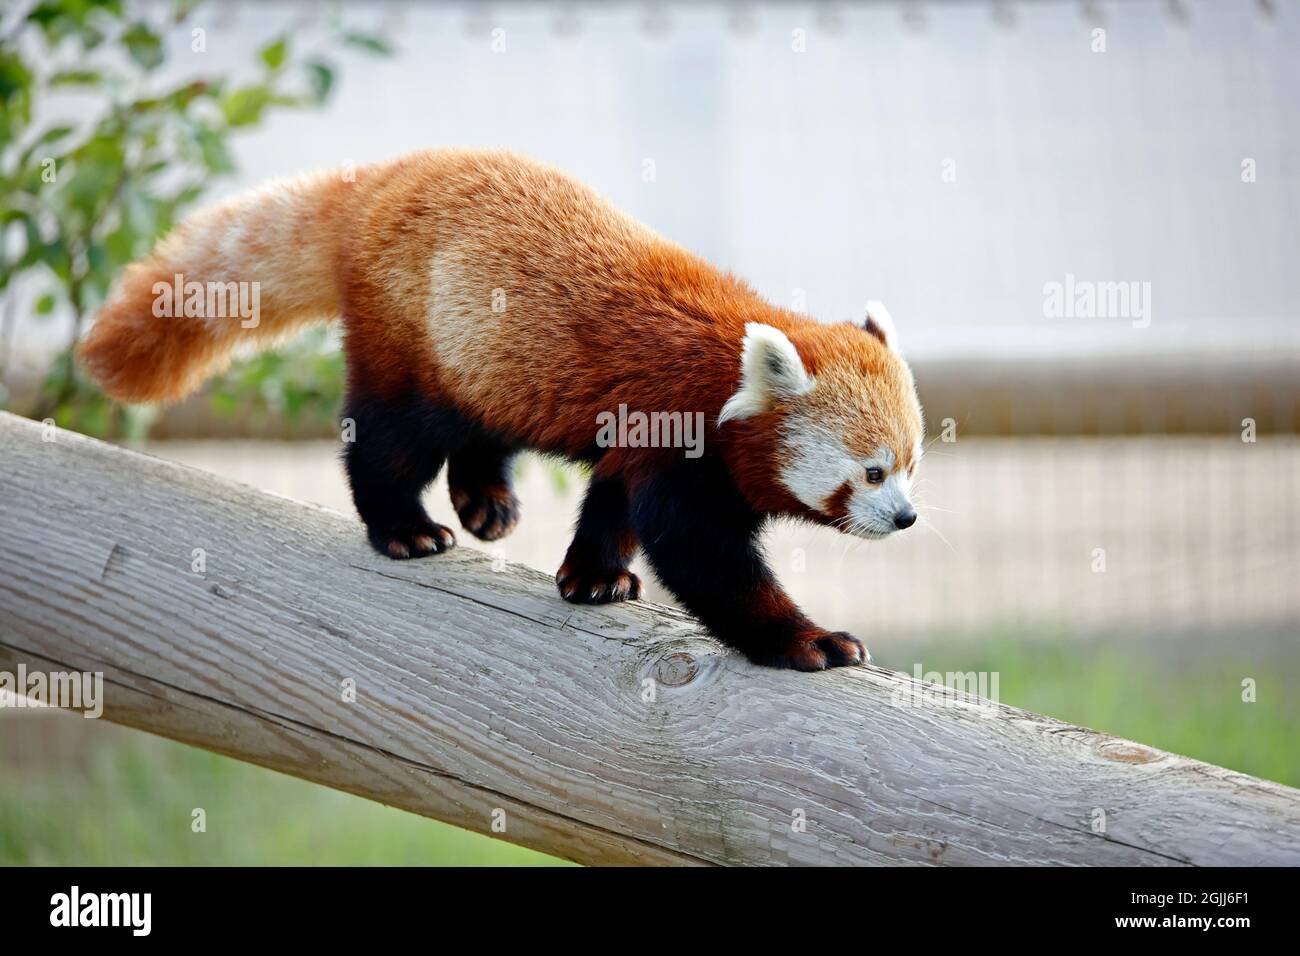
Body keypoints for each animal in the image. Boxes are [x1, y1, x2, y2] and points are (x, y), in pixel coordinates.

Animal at [78, 149, 925, 671]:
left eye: (913, 466)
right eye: (872, 471)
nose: (909, 518)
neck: (727, 371)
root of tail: (378, 180)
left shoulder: (643, 438)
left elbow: (614, 501)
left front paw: (593, 576)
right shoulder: (676, 432)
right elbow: (699, 554)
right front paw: (809, 641)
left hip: (481, 357)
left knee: (480, 426)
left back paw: (485, 497)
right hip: (410, 335)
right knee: (389, 441)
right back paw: (405, 527)